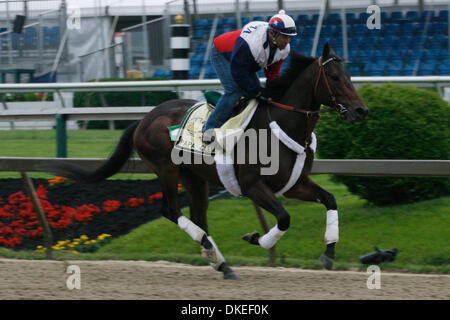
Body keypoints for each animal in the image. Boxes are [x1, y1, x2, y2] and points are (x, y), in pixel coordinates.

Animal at [43, 43, 370, 280]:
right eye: (335, 78)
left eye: (351, 76)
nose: (360, 111)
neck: (281, 123)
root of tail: (143, 119)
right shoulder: (253, 186)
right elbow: (284, 218)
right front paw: (255, 238)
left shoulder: (296, 184)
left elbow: (329, 200)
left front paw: (329, 253)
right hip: (166, 169)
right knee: (171, 211)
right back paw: (211, 251)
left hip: (195, 177)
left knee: (199, 216)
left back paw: (219, 261)